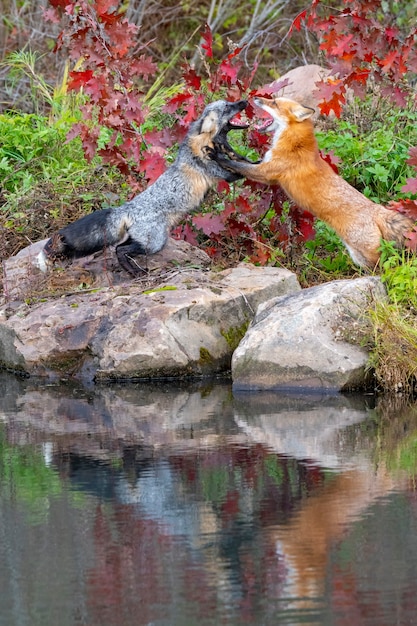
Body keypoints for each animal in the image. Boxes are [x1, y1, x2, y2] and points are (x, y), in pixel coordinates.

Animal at [37, 100, 249, 276]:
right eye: (228, 107)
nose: (244, 101)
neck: (205, 141)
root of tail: (124, 209)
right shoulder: (222, 173)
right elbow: (238, 167)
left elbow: (242, 160)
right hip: (155, 242)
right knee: (121, 250)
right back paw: (136, 272)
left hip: (141, 239)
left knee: (118, 249)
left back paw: (133, 271)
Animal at [211, 95, 412, 268]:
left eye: (274, 103)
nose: (254, 97)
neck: (294, 143)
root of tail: (376, 209)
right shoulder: (263, 164)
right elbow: (242, 160)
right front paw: (225, 150)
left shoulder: (267, 173)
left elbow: (238, 165)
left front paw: (217, 156)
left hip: (364, 255)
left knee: (385, 266)